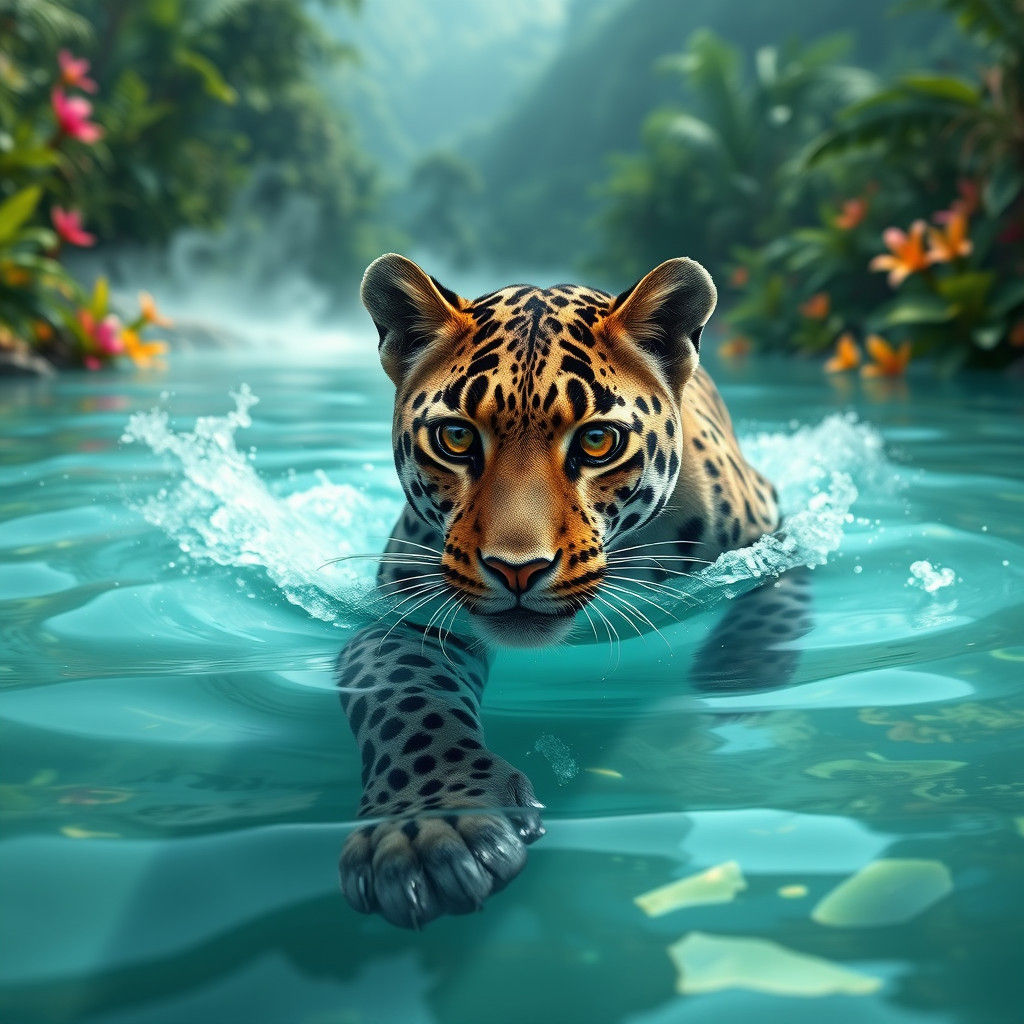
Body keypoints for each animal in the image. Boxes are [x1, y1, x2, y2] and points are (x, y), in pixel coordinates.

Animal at [335, 253, 811, 929]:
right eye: (456, 437)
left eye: (596, 441)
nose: (517, 569)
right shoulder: (405, 614)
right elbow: (404, 697)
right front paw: (428, 827)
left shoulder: (776, 535)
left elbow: (769, 607)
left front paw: (738, 677)